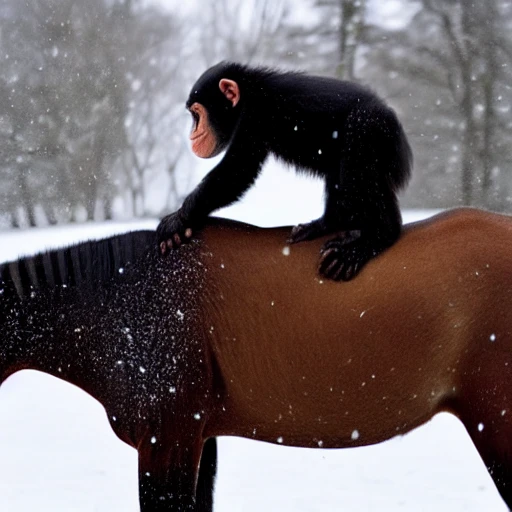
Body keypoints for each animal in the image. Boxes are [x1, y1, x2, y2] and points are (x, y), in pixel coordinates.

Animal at [156, 63, 412, 284]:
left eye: (197, 114)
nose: (193, 133)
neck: (249, 93)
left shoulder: (254, 116)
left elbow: (237, 170)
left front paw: (178, 219)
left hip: (378, 130)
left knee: (360, 131)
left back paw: (375, 237)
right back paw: (326, 224)